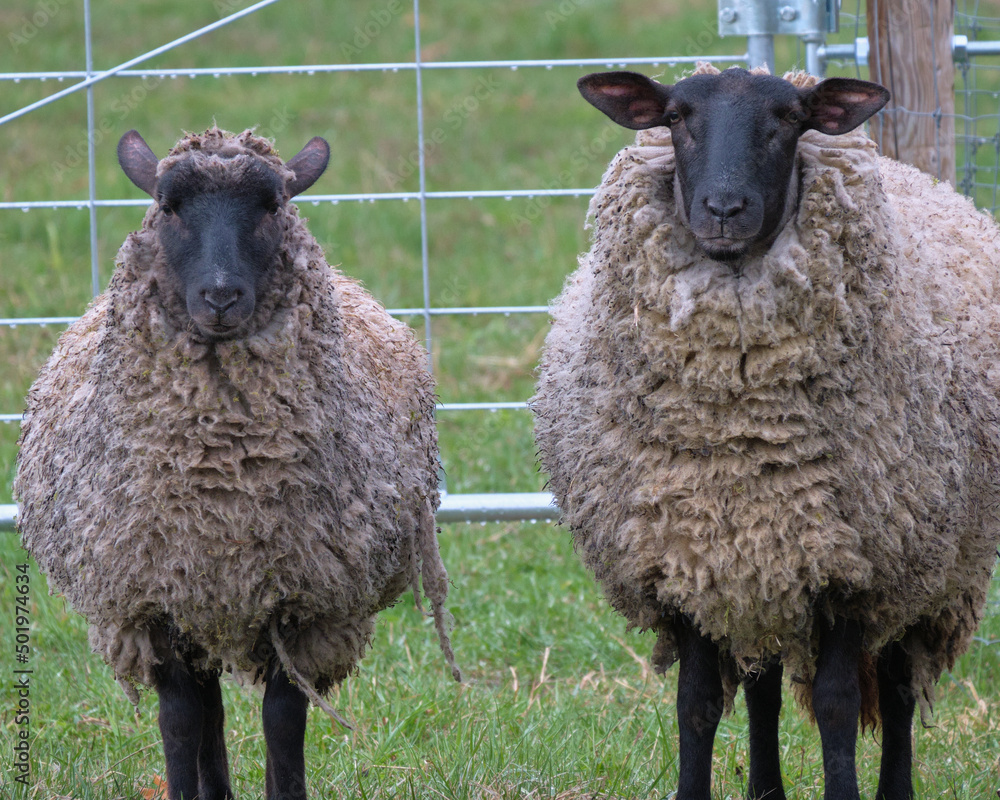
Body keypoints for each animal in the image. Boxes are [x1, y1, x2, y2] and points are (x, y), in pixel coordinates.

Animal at [15, 126, 460, 800]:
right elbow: (180, 719)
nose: (221, 297)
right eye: (168, 206)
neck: (222, 479)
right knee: (207, 709)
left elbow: (282, 720)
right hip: (200, 605)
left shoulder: (304, 604)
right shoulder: (157, 600)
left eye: (273, 206)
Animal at [532, 63, 1000, 800]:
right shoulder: (691, 556)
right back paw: (764, 790)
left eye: (789, 119)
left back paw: (894, 787)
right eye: (676, 117)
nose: (724, 209)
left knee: (897, 689)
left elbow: (837, 705)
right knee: (763, 687)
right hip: (766, 572)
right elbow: (696, 703)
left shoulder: (851, 566)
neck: (741, 437)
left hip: (927, 567)